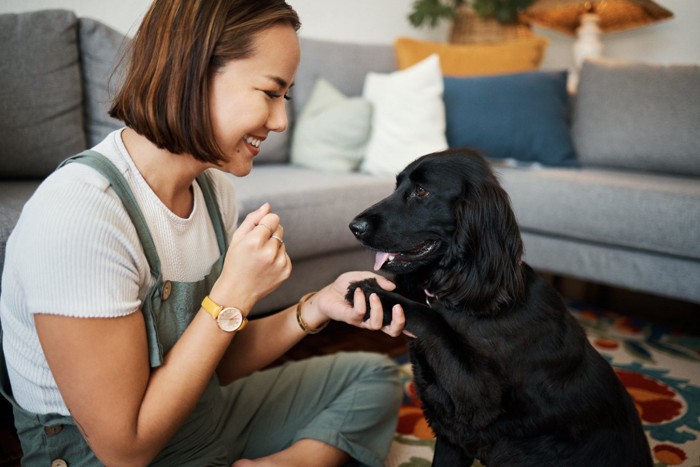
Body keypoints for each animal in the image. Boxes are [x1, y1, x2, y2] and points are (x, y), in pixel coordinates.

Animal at [348, 150, 652, 467]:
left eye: (421, 192)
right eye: (397, 186)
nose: (354, 227)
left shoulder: (478, 398)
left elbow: (434, 319)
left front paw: (372, 292)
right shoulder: (452, 437)